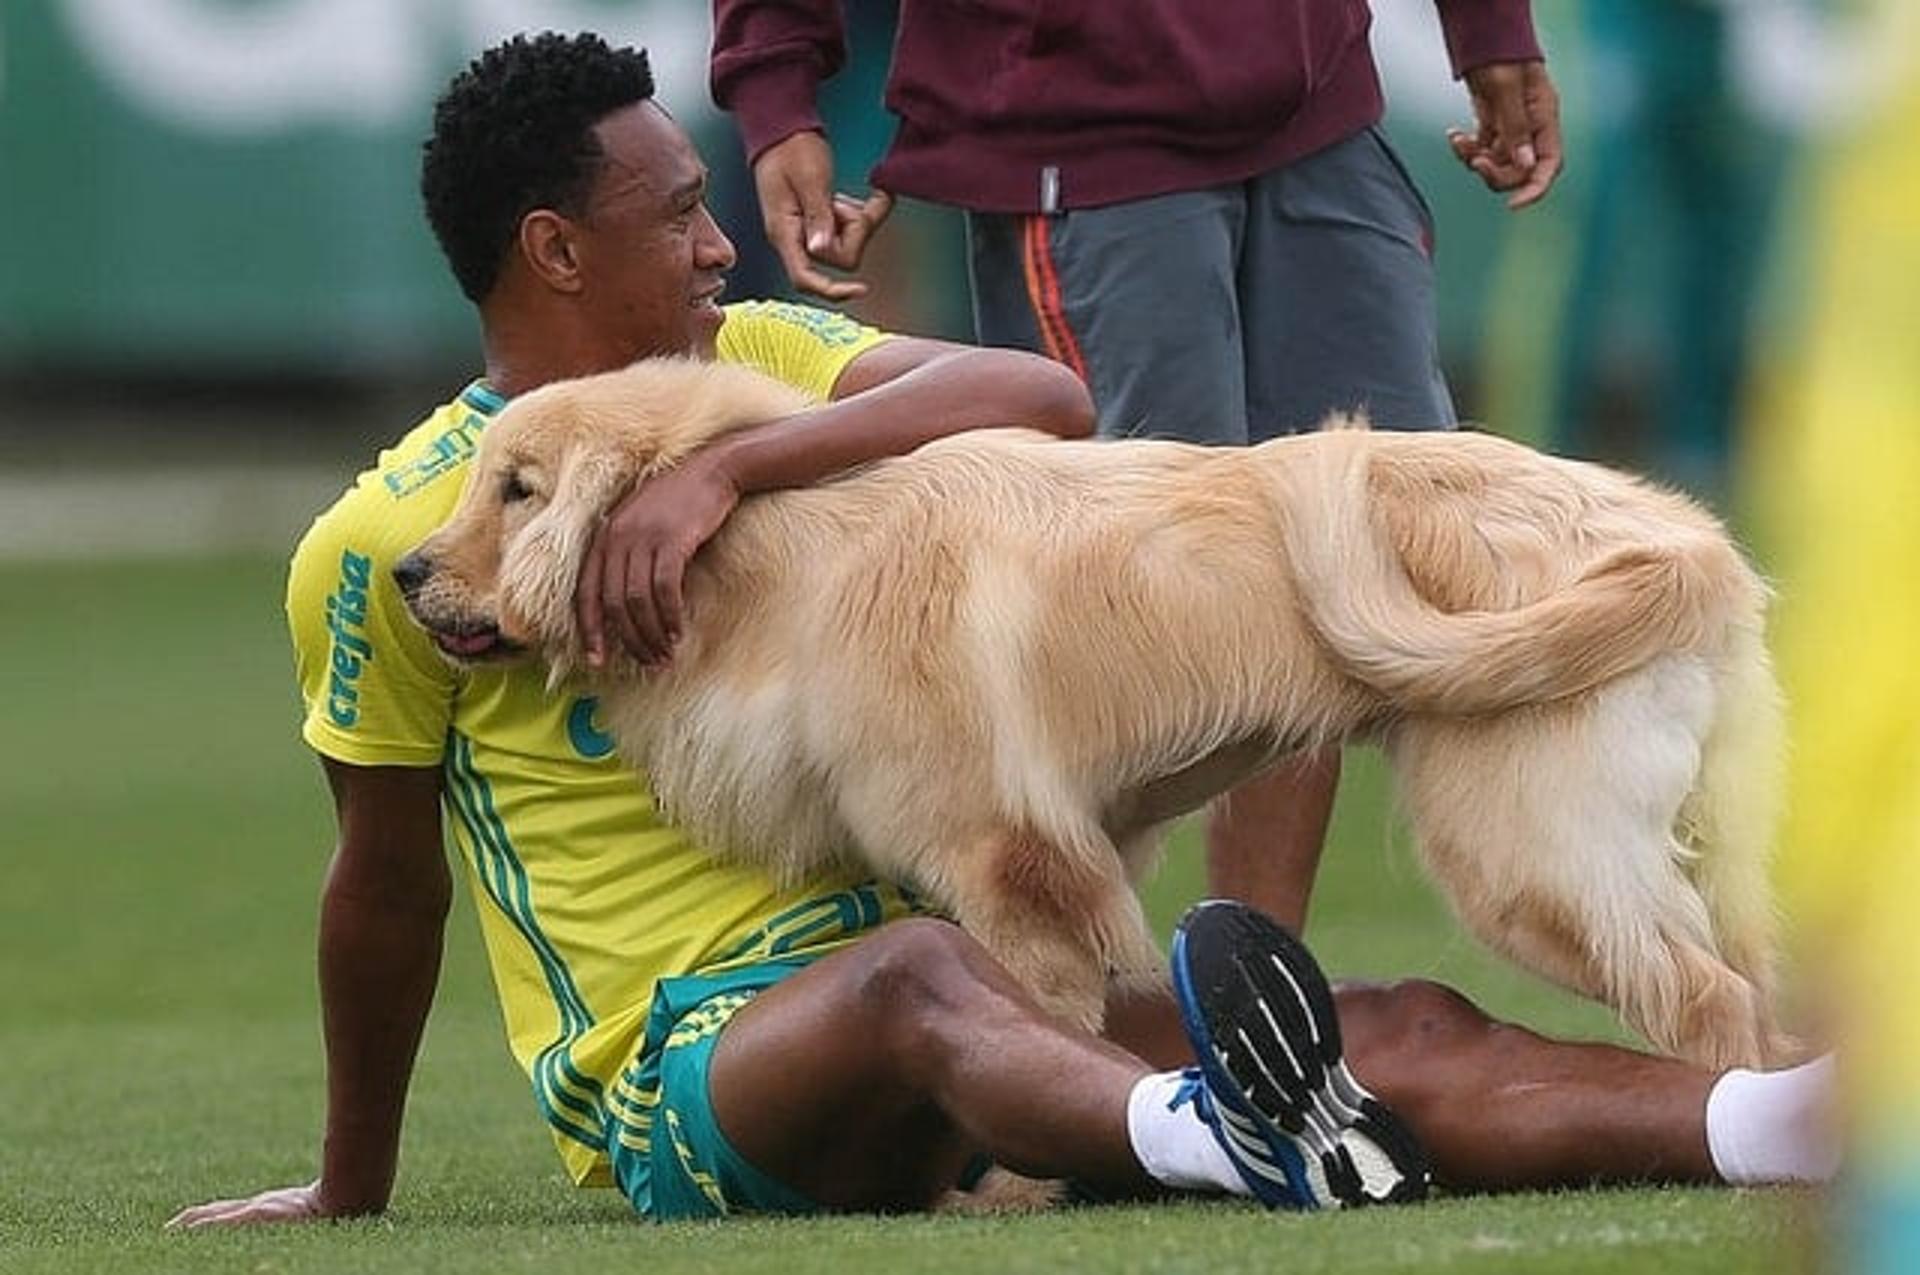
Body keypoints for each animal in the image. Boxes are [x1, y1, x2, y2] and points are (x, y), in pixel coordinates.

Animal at [397, 355, 1789, 1067]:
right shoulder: (1083, 849)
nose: (404, 575)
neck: (766, 542)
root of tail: (1685, 545)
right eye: (482, 481)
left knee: (1710, 1005)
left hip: (1527, 859)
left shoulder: (1010, 865)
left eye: (521, 490)